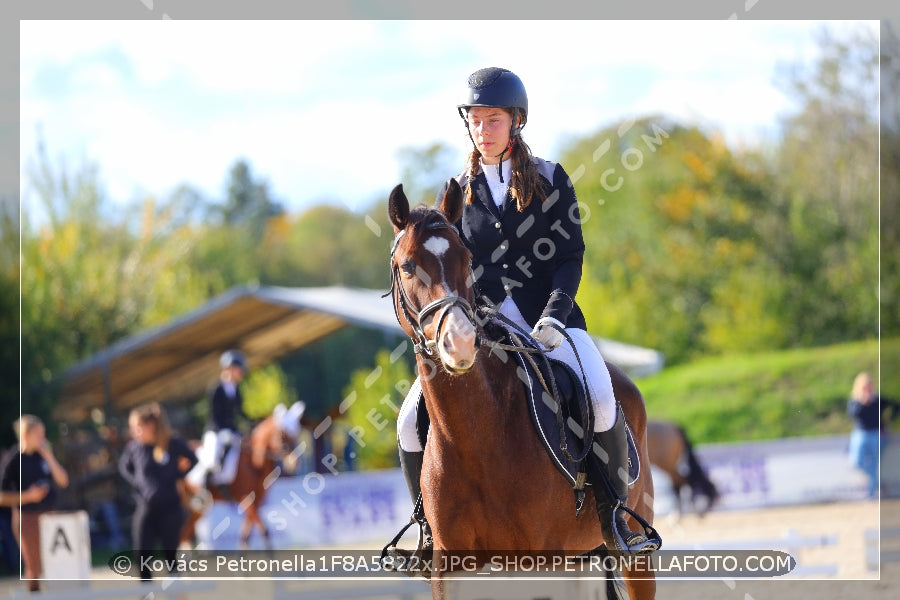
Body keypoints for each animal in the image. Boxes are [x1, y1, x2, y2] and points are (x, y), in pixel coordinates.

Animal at [179, 412, 298, 548]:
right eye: (281, 435)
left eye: (294, 434)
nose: (293, 462)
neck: (254, 463)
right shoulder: (246, 500)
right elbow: (264, 531)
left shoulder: (256, 502)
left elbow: (245, 536)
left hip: (199, 507)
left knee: (185, 532)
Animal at [384, 180, 656, 596]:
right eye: (408, 266)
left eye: (466, 258)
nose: (460, 342)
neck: (475, 438)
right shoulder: (450, 568)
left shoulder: (539, 560)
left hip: (631, 553)